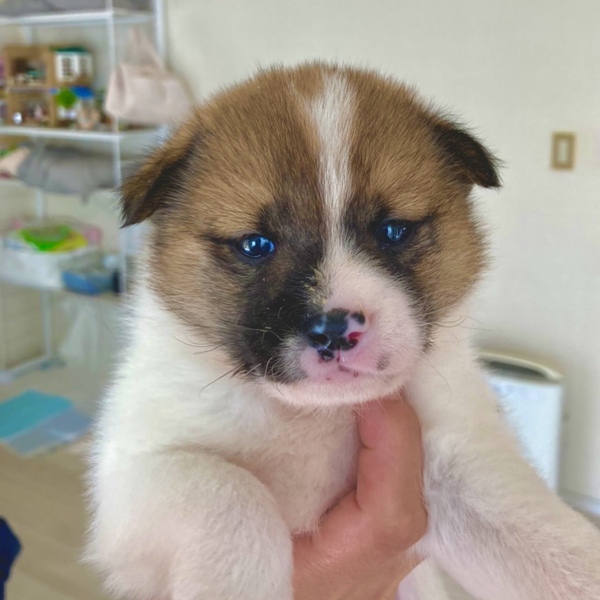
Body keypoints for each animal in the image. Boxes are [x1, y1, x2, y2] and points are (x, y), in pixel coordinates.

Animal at [87, 63, 600, 599]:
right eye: (255, 244)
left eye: (393, 230)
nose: (334, 330)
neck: (315, 417)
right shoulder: (133, 479)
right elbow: (232, 494)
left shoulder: (457, 470)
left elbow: (550, 546)